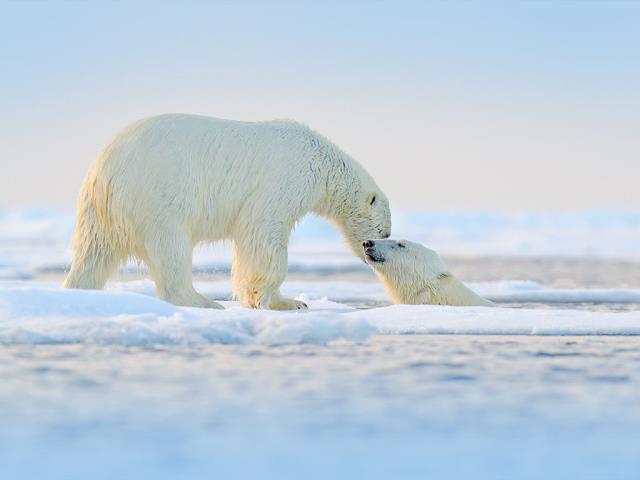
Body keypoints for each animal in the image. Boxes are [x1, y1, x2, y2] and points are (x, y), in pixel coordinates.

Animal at [63, 114, 391, 310]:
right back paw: (203, 301)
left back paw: (79, 291)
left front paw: (289, 301)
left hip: (101, 211)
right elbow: (263, 233)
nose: (369, 252)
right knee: (171, 249)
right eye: (383, 231)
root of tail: (102, 169)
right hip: (155, 196)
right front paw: (282, 301)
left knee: (93, 254)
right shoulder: (284, 180)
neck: (321, 162)